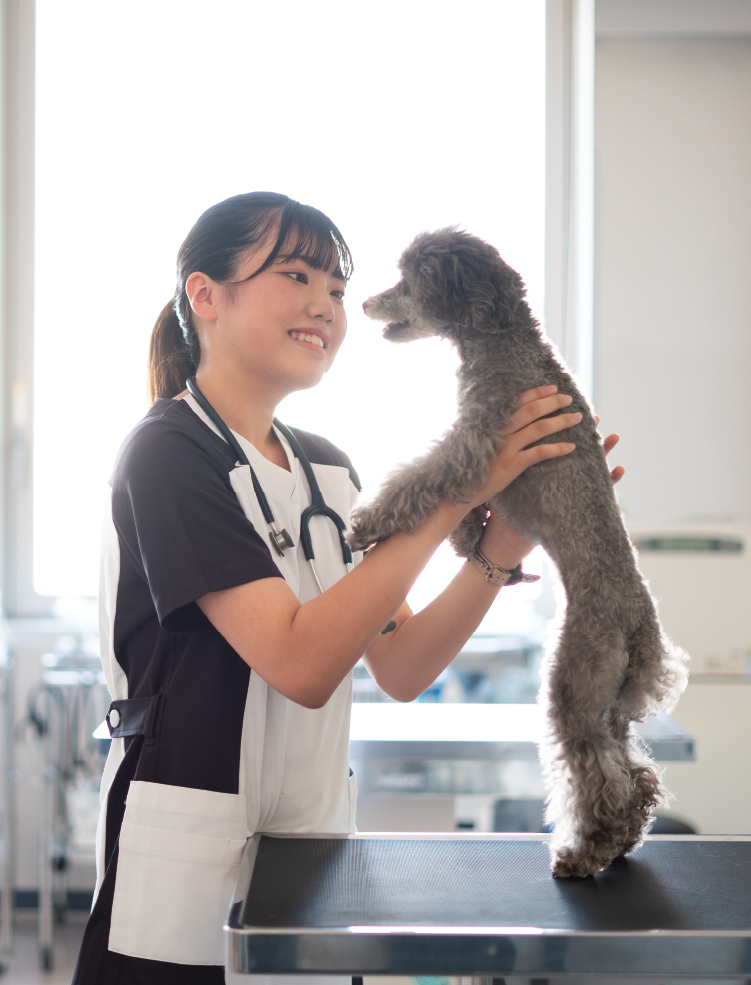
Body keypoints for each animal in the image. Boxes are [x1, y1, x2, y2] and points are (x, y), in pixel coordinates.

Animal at [350, 229, 692, 876]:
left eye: (407, 281)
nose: (363, 303)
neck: (503, 343)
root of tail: (642, 625)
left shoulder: (478, 441)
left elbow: (420, 480)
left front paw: (368, 523)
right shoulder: (488, 459)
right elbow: (467, 511)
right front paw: (467, 541)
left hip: (574, 682)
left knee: (597, 773)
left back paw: (584, 853)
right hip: (606, 701)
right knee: (634, 773)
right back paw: (620, 841)